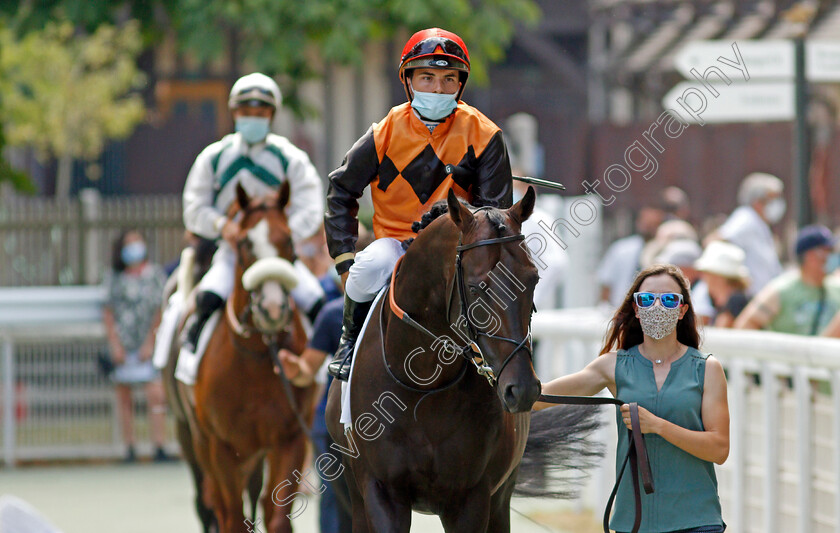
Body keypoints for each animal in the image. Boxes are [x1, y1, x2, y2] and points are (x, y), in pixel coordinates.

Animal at [166, 184, 316, 532]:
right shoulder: (222, 447)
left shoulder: (289, 438)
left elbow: (277, 516)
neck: (257, 359)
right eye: (245, 242)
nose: (272, 309)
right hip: (192, 437)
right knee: (210, 504)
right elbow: (232, 516)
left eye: (289, 240)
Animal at [324, 189, 596, 528]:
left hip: (501, 497)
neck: (423, 386)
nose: (522, 388)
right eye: (476, 287)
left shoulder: (471, 498)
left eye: (533, 280)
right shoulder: (381, 492)